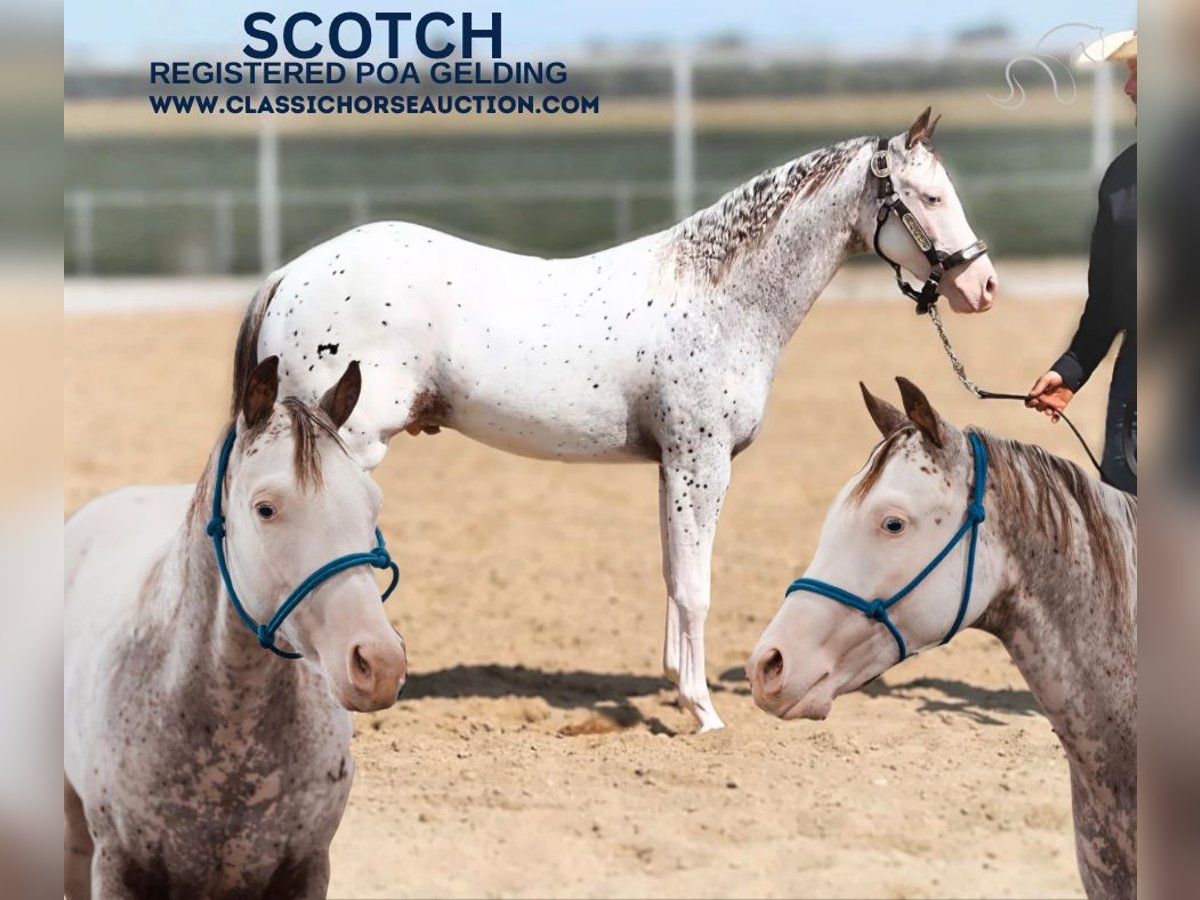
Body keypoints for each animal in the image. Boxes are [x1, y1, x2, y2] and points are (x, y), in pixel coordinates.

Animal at [238, 109, 998, 729]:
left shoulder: (672, 467)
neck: (721, 298)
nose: (982, 286)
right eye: (930, 197)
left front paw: (679, 689)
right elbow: (695, 587)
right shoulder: (701, 462)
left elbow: (671, 574)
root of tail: (291, 273)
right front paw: (703, 713)